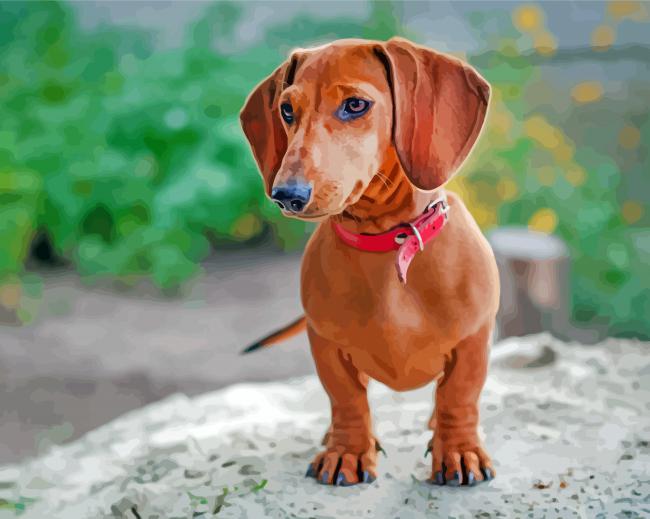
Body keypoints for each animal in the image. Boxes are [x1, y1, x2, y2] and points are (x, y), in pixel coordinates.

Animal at [238, 36, 496, 488]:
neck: (389, 243)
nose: (286, 195)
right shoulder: (325, 344)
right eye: (286, 110)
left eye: (355, 105)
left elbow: (458, 395)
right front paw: (348, 450)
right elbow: (347, 398)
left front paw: (459, 450)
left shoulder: (473, 339)